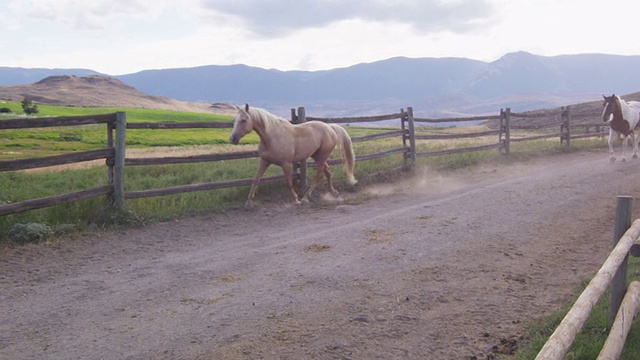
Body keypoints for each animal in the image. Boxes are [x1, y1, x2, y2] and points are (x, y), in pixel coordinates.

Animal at [230, 104, 358, 208]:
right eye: (235, 120)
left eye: (243, 120)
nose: (232, 139)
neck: (272, 137)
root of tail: (330, 127)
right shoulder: (264, 161)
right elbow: (256, 180)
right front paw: (248, 203)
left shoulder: (286, 164)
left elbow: (289, 181)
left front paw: (296, 200)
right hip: (317, 156)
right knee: (328, 173)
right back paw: (333, 192)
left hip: (322, 157)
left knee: (319, 175)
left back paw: (305, 198)